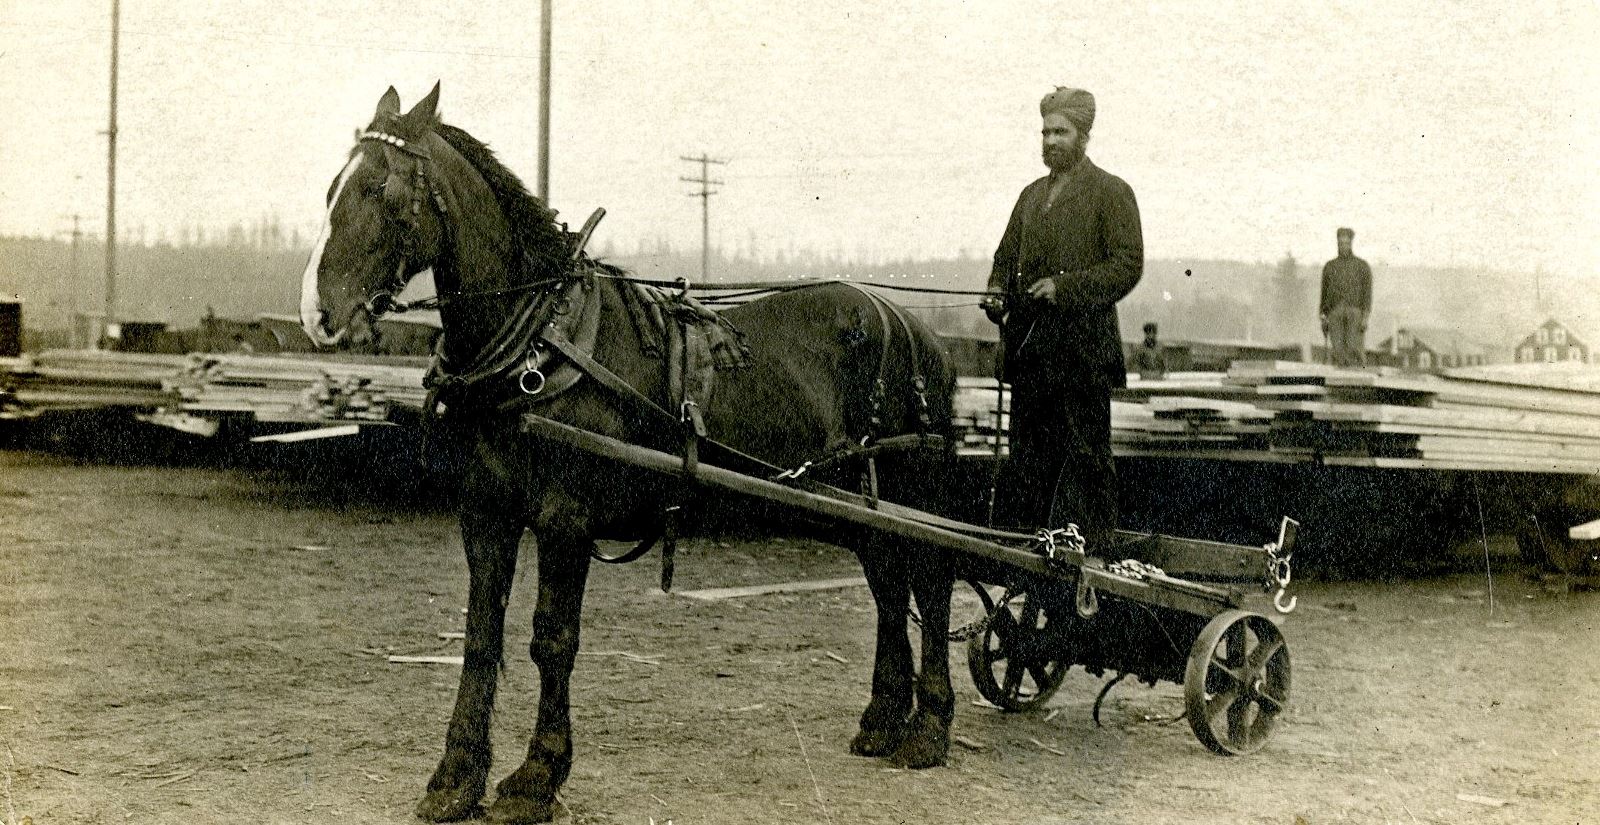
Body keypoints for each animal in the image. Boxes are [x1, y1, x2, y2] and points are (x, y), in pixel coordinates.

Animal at [300, 85, 960, 825]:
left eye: (381, 188)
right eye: (333, 188)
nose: (317, 315)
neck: (537, 343)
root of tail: (913, 327)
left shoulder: (565, 518)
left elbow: (551, 638)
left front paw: (536, 776)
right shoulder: (486, 511)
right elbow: (480, 636)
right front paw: (456, 775)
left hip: (915, 489)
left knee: (931, 583)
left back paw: (929, 729)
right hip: (859, 502)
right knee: (887, 585)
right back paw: (882, 718)